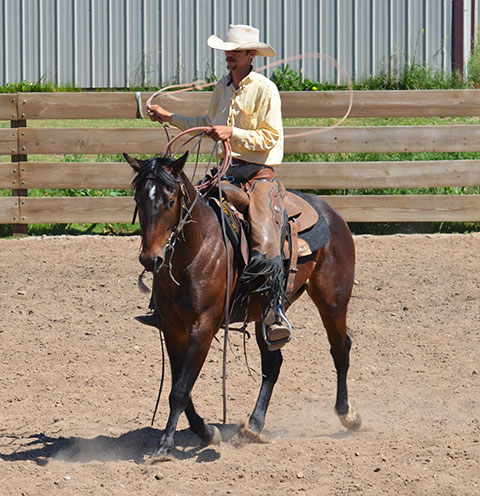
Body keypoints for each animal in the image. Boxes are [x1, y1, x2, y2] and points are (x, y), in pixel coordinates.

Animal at [124, 151, 361, 458]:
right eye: (139, 200)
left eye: (171, 201)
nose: (150, 259)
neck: (198, 250)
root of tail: (332, 213)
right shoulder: (172, 328)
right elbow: (181, 387)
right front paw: (206, 432)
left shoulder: (203, 327)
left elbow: (180, 390)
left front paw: (164, 446)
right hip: (268, 313)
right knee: (273, 363)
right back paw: (254, 425)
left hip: (333, 300)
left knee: (340, 348)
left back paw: (347, 415)